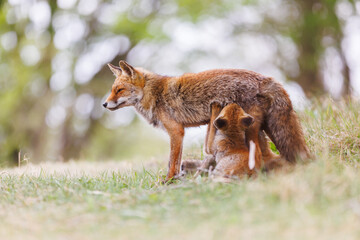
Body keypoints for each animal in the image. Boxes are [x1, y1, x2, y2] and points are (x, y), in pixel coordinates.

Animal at [102, 60, 310, 182]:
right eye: (112, 90)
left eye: (119, 90)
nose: (104, 104)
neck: (154, 94)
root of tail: (265, 78)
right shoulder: (180, 132)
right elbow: (177, 161)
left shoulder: (176, 131)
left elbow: (172, 162)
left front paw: (169, 181)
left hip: (252, 130)